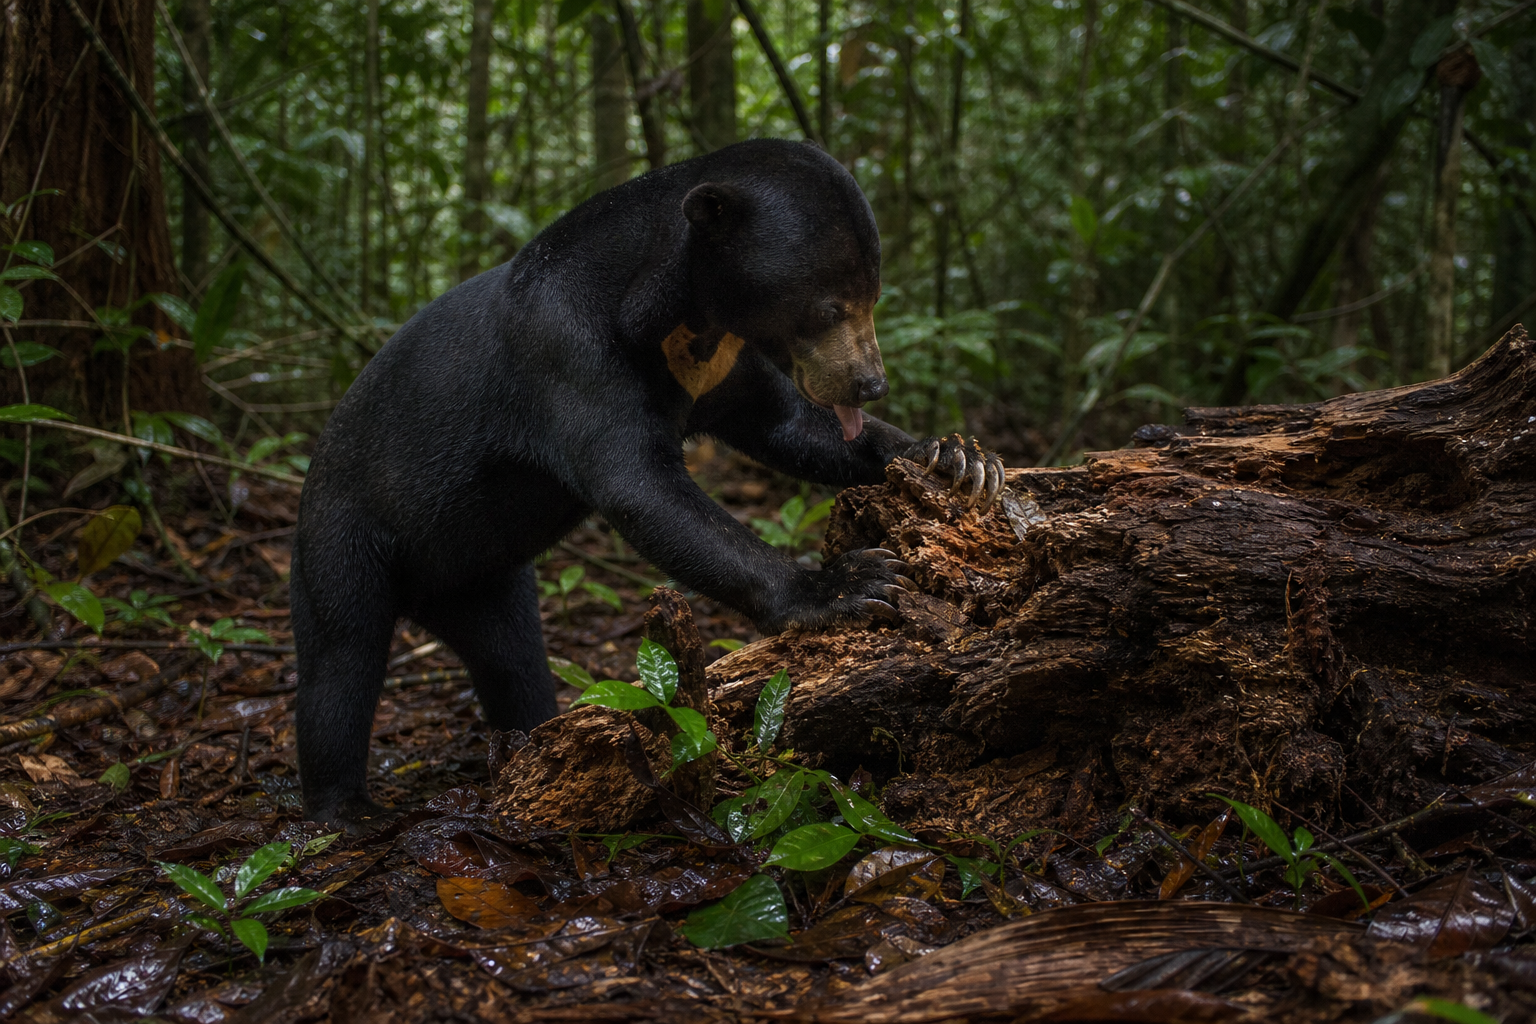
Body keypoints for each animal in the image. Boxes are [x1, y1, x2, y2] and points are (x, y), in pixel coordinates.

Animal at [292, 138, 1004, 826]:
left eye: (873, 299)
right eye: (830, 306)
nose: (869, 383)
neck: (679, 313)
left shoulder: (720, 361)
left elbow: (792, 425)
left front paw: (955, 459)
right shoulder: (568, 350)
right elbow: (640, 486)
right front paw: (849, 584)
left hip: (485, 575)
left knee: (513, 658)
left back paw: (532, 743)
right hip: (344, 532)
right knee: (341, 657)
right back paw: (347, 809)